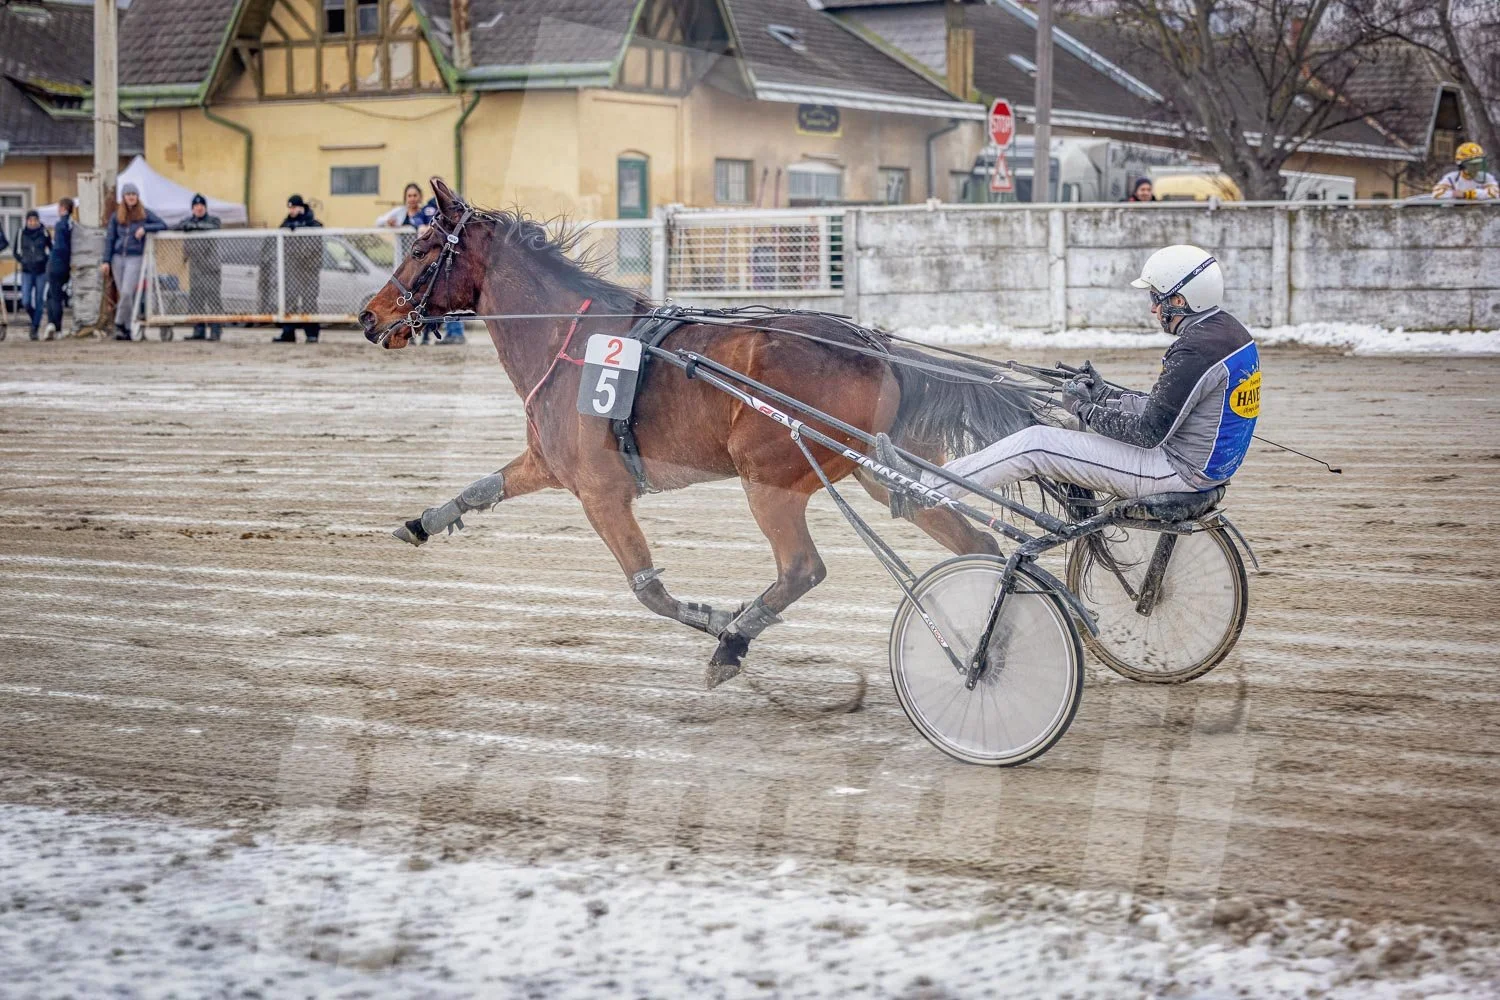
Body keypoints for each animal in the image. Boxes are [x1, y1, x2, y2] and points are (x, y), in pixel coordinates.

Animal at [359, 178, 1040, 688]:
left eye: (421, 247)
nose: (368, 314)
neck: (568, 338)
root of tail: (872, 345)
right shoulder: (550, 465)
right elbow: (481, 488)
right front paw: (421, 522)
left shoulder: (601, 493)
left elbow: (648, 590)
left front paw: (717, 619)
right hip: (882, 474)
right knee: (975, 539)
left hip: (768, 477)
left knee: (802, 569)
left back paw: (734, 641)